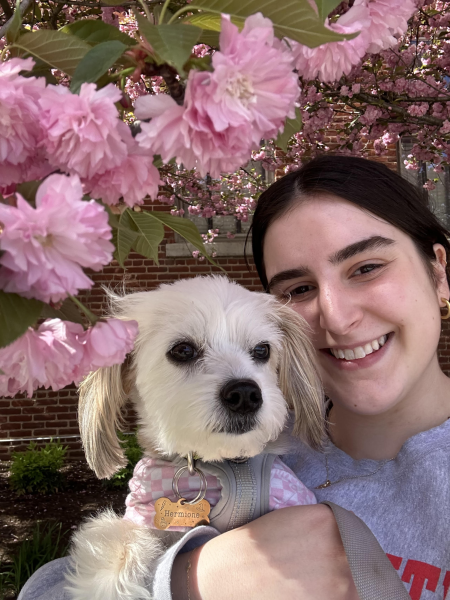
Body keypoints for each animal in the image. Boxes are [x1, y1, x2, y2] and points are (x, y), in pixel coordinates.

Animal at [66, 276, 324, 600]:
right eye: (183, 350)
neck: (223, 462)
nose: (245, 394)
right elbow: (116, 546)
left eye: (262, 350)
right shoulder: (144, 513)